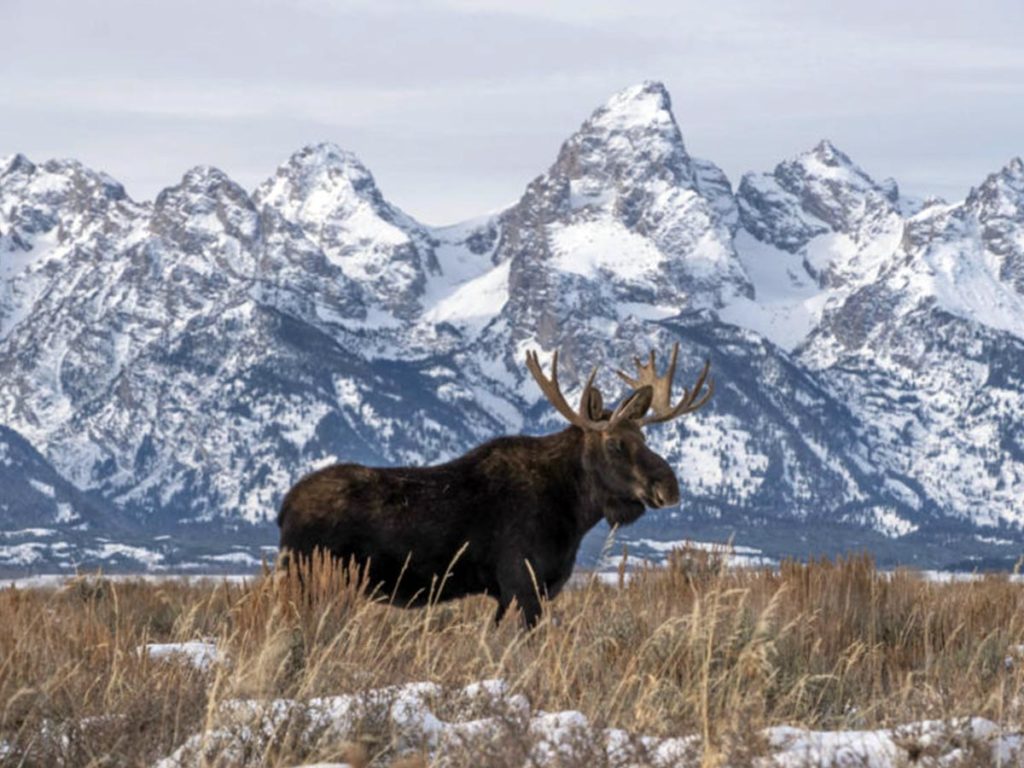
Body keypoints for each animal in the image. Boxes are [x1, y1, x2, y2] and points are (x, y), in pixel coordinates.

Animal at [276, 346, 716, 626]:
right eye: (615, 443)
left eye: (644, 438)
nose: (669, 486)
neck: (575, 512)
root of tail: (283, 509)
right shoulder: (521, 585)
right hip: (310, 580)